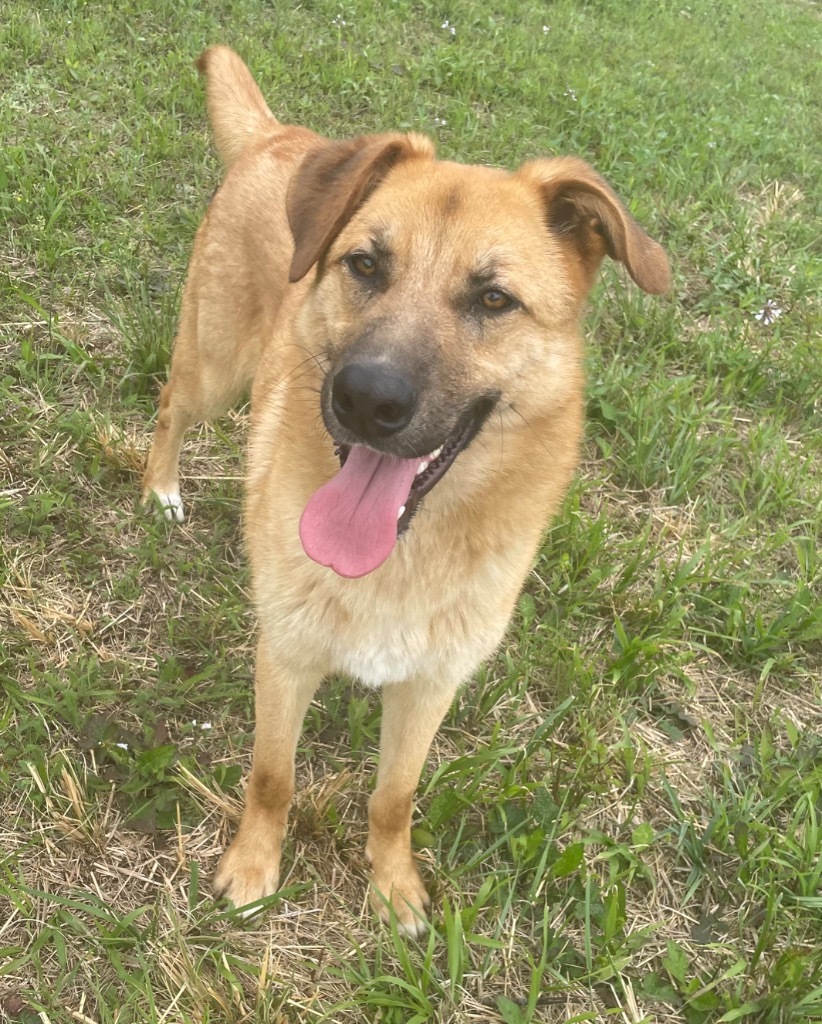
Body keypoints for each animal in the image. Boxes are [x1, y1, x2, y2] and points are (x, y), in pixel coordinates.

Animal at [141, 44, 667, 933]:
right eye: (365, 264)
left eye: (493, 298)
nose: (365, 398)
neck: (401, 551)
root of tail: (283, 137)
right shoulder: (286, 656)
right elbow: (273, 778)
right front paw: (253, 870)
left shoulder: (430, 686)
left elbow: (395, 797)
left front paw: (392, 887)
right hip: (214, 368)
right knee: (172, 404)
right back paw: (161, 487)